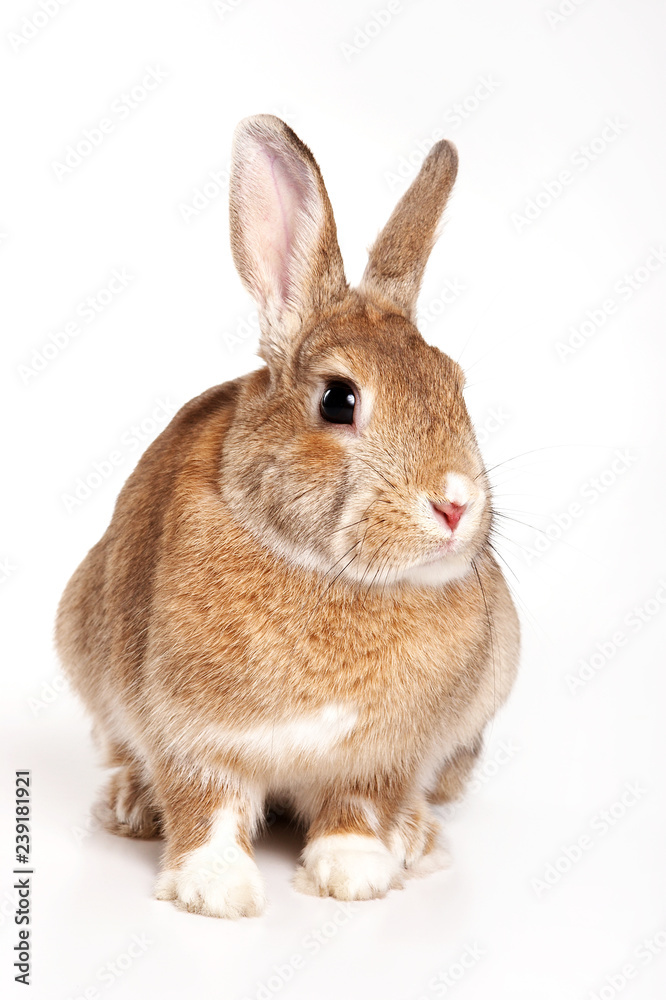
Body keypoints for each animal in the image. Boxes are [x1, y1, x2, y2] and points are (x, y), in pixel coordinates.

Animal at [55, 114, 520, 919]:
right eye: (338, 399)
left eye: (455, 386)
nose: (455, 503)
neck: (331, 573)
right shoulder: (192, 731)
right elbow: (205, 802)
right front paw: (215, 890)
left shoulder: (383, 756)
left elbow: (360, 807)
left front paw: (354, 873)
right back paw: (129, 806)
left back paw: (418, 841)